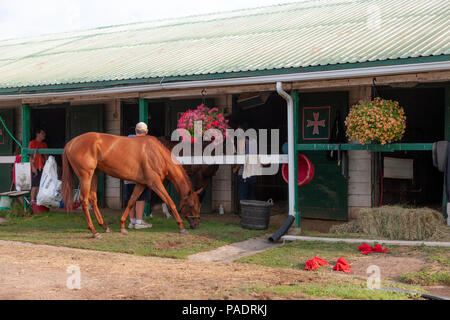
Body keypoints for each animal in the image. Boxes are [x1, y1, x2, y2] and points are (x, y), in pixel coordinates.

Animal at [60, 132, 201, 238]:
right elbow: (170, 202)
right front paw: (181, 227)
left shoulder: (141, 184)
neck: (156, 153)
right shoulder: (155, 183)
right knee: (84, 200)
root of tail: (70, 143)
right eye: (191, 205)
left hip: (94, 174)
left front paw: (122, 226)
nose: (196, 224)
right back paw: (94, 231)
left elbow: (131, 202)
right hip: (86, 176)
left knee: (93, 199)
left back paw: (105, 227)